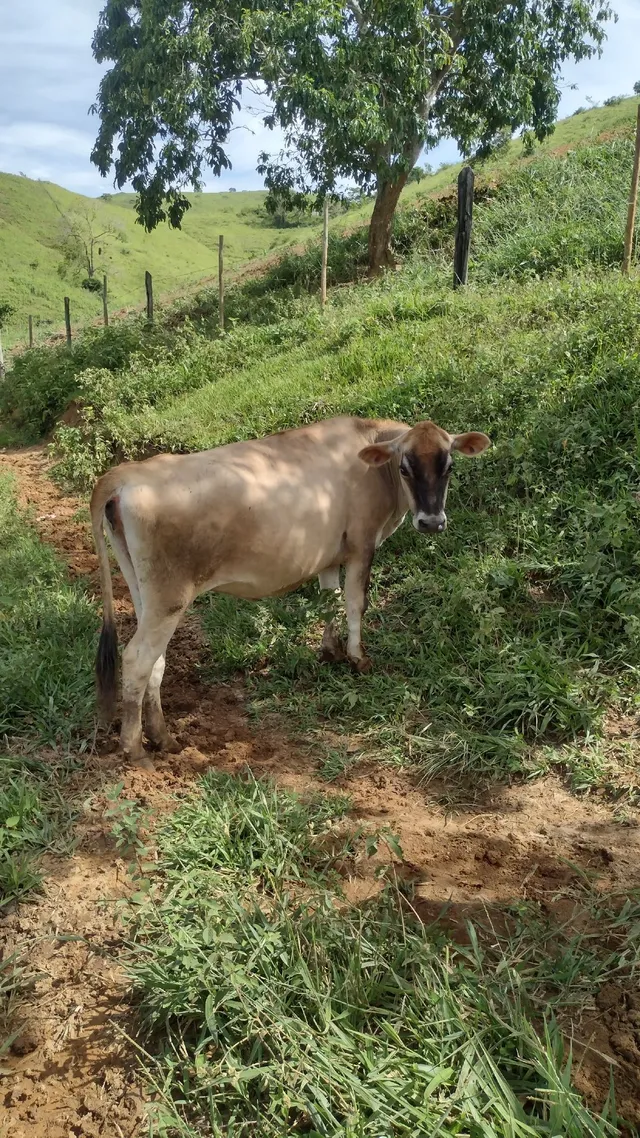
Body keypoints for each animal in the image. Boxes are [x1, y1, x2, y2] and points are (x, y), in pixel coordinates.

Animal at [91, 416, 490, 766]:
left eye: (449, 466)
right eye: (405, 468)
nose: (432, 522)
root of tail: (127, 473)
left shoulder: (329, 554)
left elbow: (329, 601)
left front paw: (329, 651)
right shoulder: (362, 544)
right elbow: (355, 603)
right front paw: (358, 658)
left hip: (145, 594)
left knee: (155, 662)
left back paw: (163, 738)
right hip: (169, 597)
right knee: (137, 659)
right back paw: (136, 750)